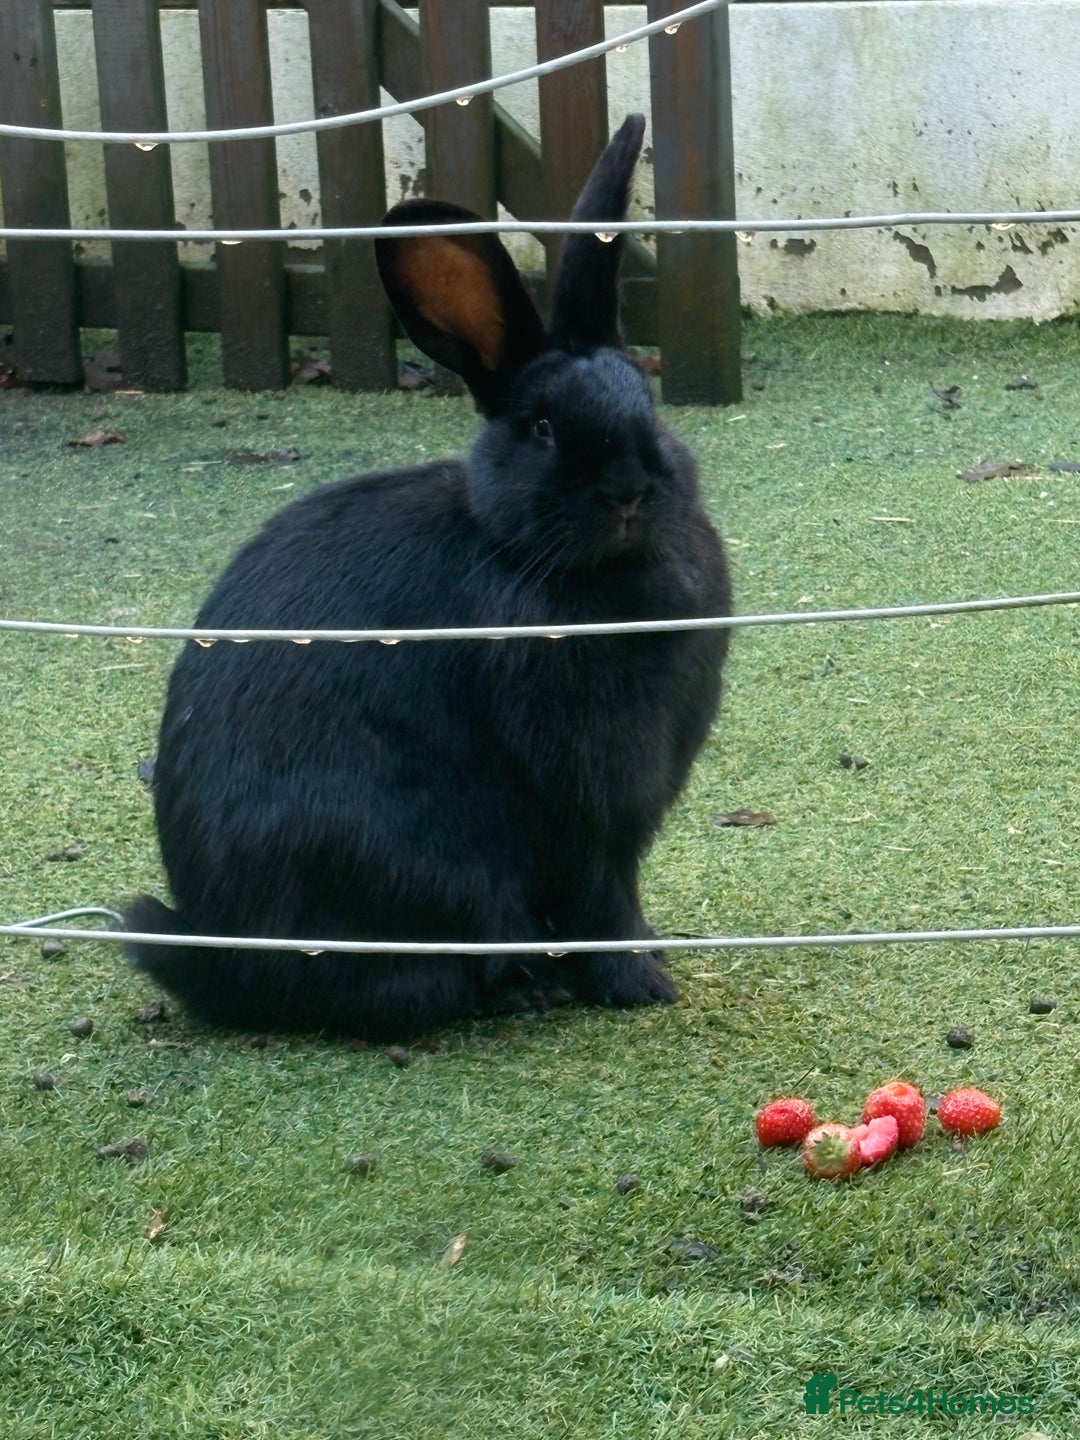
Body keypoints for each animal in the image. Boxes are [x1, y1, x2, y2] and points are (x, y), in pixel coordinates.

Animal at [125, 113, 732, 1039]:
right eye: (542, 427)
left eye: (649, 407)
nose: (629, 489)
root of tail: (228, 957)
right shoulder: (590, 798)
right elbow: (603, 894)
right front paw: (642, 982)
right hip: (433, 867)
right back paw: (525, 989)